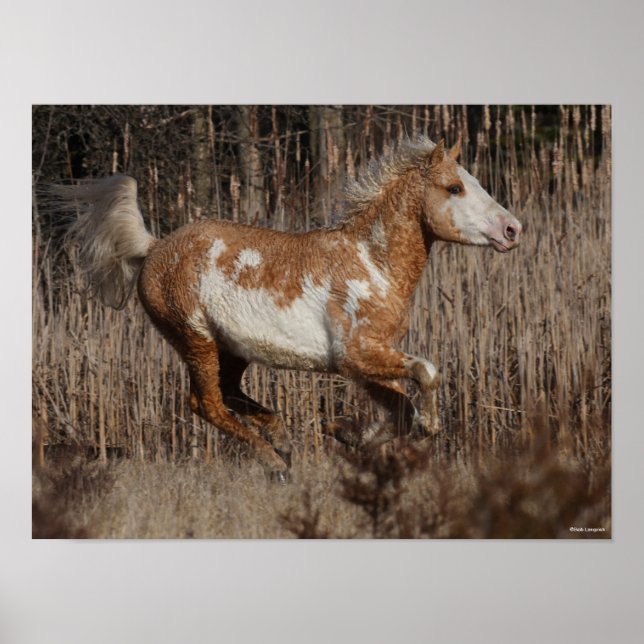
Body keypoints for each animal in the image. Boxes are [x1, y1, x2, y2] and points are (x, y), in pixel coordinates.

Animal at [59, 138, 521, 482]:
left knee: (225, 395)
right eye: (455, 188)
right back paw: (274, 462)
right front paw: (425, 427)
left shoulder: (367, 363)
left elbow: (400, 409)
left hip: (231, 350)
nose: (513, 229)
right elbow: (426, 373)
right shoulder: (356, 355)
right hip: (195, 339)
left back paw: (281, 439)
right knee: (207, 404)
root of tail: (153, 248)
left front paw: (345, 433)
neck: (371, 263)